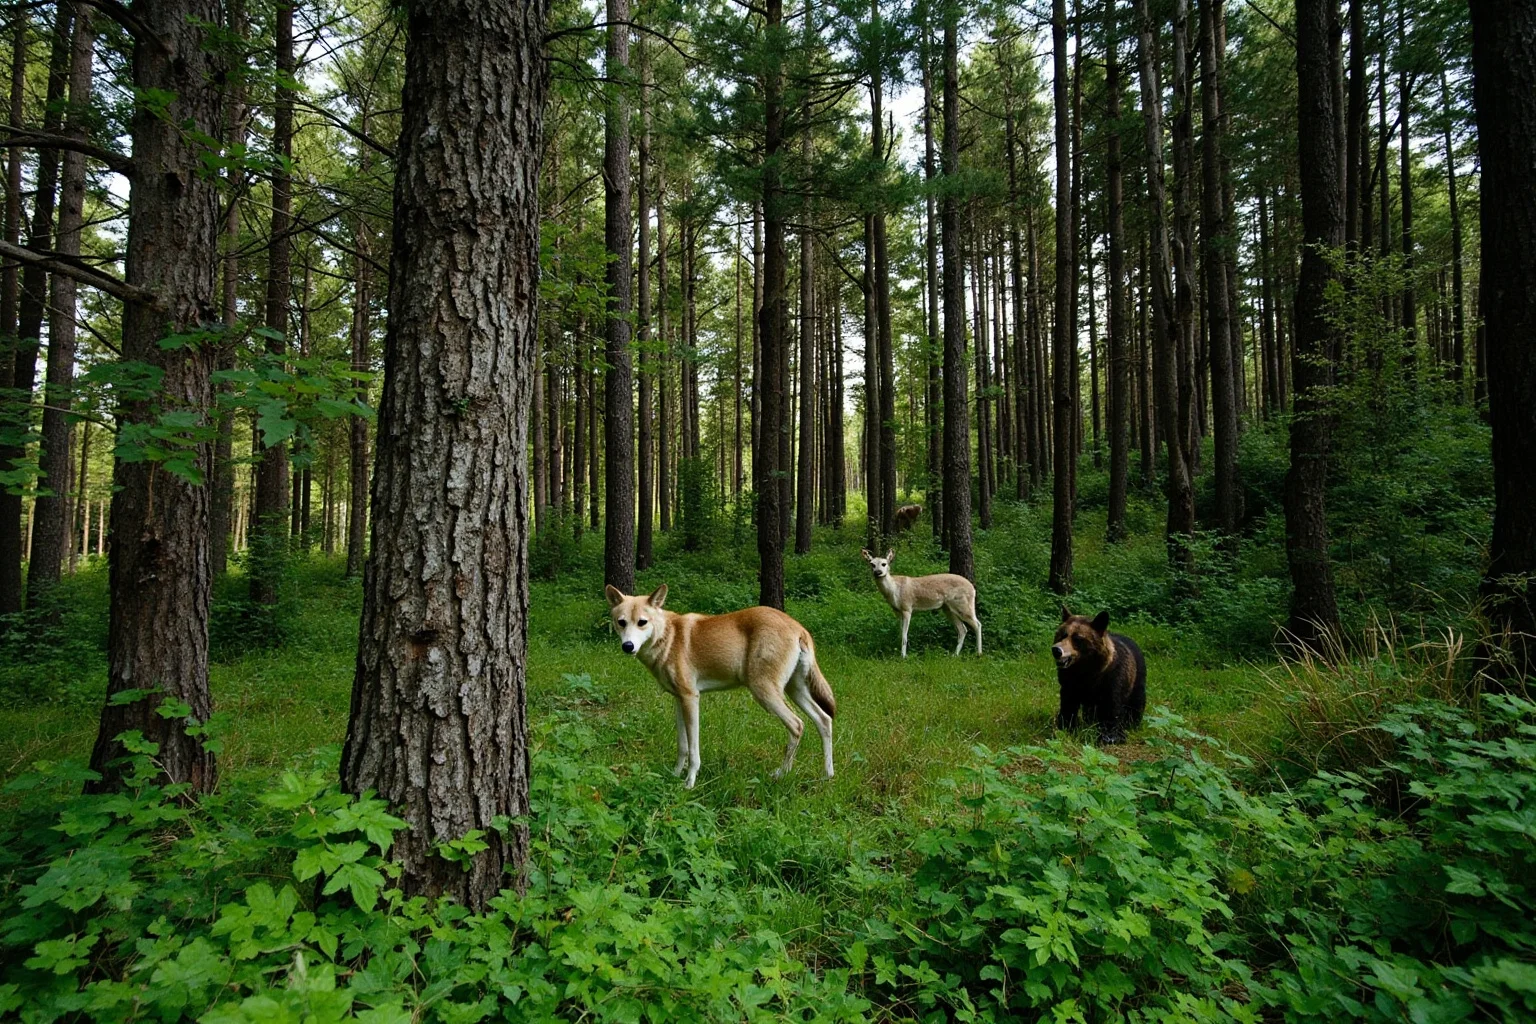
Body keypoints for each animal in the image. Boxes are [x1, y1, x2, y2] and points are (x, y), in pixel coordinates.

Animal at [1051, 607, 1147, 745]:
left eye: (1077, 638)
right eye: (1062, 634)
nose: (1056, 650)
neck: (1085, 670)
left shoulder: (1111, 680)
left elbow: (1111, 708)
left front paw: (1110, 736)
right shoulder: (1069, 683)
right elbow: (1068, 705)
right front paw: (1065, 726)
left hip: (1137, 678)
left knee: (1136, 702)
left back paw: (1132, 723)